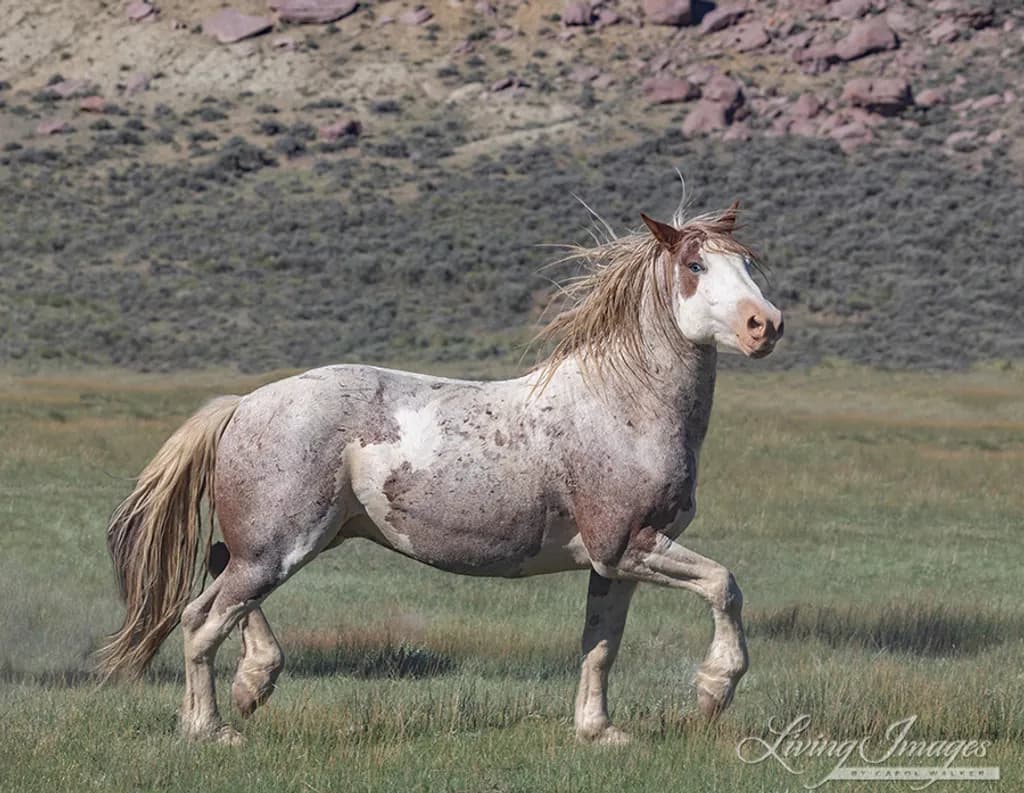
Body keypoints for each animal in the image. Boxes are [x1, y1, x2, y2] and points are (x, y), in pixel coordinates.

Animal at [98, 199, 783, 745]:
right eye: (695, 266)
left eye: (748, 265)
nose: (766, 325)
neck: (623, 406)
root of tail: (242, 404)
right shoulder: (630, 545)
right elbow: (724, 585)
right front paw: (713, 690)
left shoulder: (610, 563)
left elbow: (600, 647)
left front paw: (600, 733)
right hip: (279, 548)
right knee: (205, 622)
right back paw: (214, 730)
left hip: (290, 545)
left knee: (207, 595)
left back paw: (243, 691)